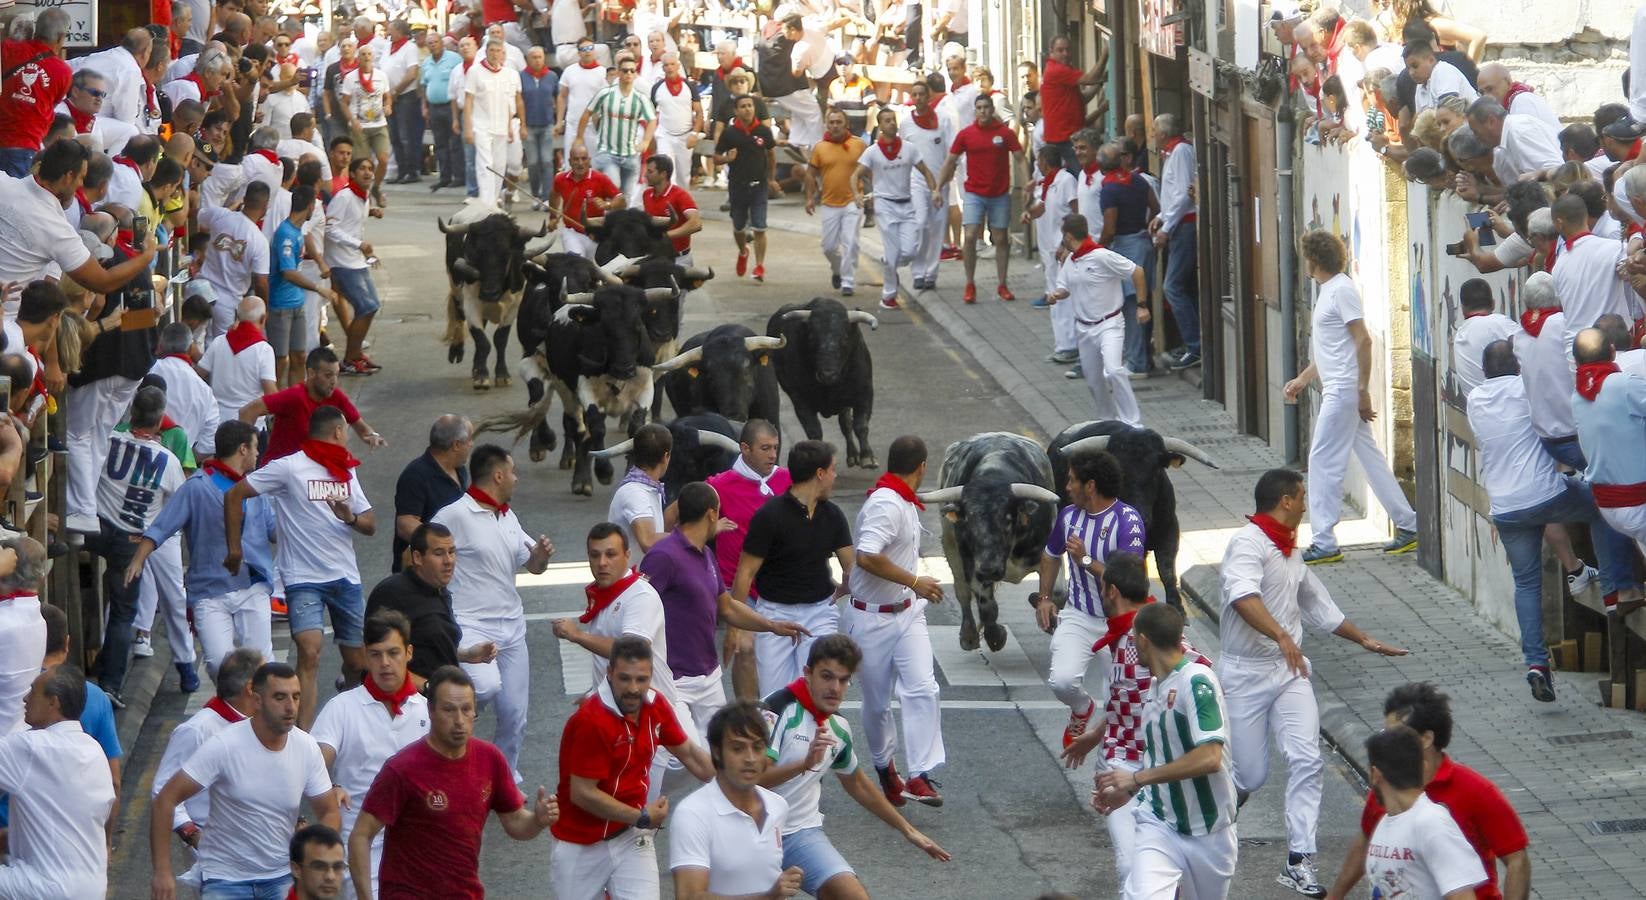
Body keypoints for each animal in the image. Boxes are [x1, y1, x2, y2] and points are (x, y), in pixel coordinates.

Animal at [1046, 421, 1218, 612]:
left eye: (1157, 471)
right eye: (1119, 472)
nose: (1141, 515)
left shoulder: (1169, 530)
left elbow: (1166, 571)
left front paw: (1177, 608)